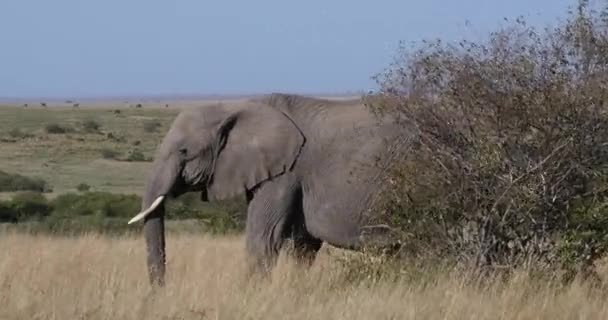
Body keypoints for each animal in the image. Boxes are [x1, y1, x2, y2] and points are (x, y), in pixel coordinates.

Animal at [128, 92, 414, 284]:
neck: (237, 106)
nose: (160, 291)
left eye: (184, 151)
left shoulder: (284, 173)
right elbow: (303, 245)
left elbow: (263, 238)